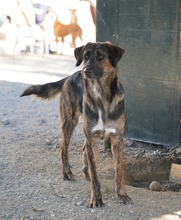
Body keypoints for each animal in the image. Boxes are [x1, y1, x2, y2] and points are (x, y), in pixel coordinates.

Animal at [20, 41, 132, 208]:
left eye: (101, 56)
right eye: (85, 56)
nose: (86, 71)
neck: (101, 97)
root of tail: (71, 76)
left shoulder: (117, 139)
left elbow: (119, 171)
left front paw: (122, 194)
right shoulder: (92, 138)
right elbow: (95, 175)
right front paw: (96, 198)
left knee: (83, 149)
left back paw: (84, 171)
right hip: (69, 121)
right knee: (63, 148)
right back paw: (67, 172)